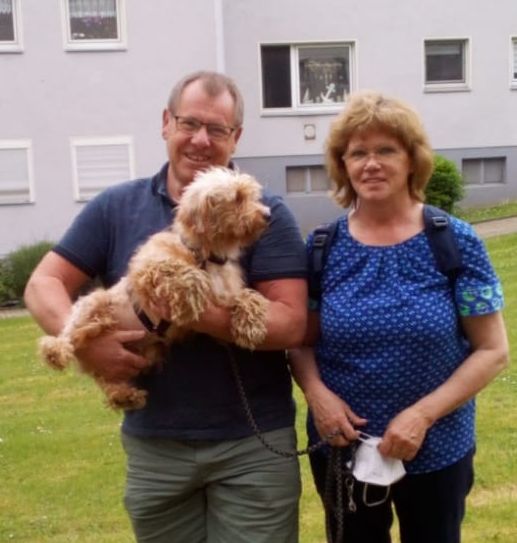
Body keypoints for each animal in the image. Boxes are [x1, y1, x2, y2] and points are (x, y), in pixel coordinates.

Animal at [38, 167, 271, 410]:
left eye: (252, 196)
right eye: (237, 197)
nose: (268, 215)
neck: (206, 255)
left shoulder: (223, 303)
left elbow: (247, 297)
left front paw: (251, 324)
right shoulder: (146, 271)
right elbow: (181, 271)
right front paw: (191, 293)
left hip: (145, 353)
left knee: (108, 380)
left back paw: (124, 395)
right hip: (94, 302)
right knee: (69, 334)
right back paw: (55, 351)